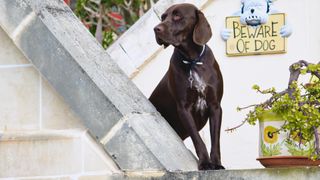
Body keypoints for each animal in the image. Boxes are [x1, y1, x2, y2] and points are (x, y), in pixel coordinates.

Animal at [149, 3, 224, 170]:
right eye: (163, 17)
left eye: (177, 16)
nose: (156, 29)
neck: (192, 60)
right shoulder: (184, 109)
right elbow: (198, 140)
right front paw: (205, 163)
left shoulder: (215, 106)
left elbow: (215, 141)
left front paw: (216, 164)